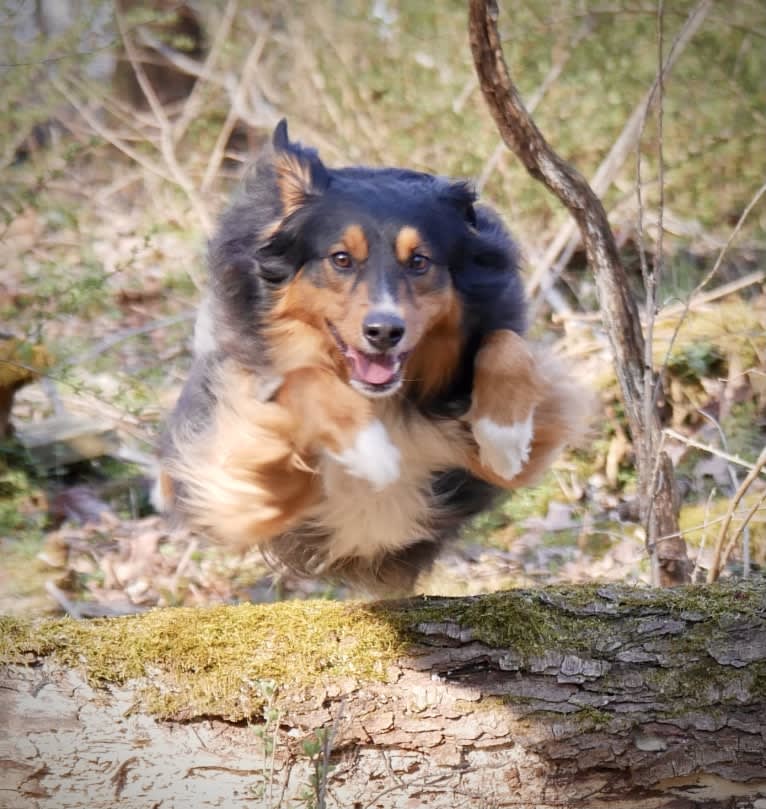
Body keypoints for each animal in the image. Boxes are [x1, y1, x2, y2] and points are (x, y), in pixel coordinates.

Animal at [158, 121, 588, 592]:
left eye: (419, 261)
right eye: (341, 259)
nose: (384, 332)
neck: (379, 400)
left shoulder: (482, 466)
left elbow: (507, 344)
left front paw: (504, 434)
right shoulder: (239, 490)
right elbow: (301, 381)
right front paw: (367, 449)